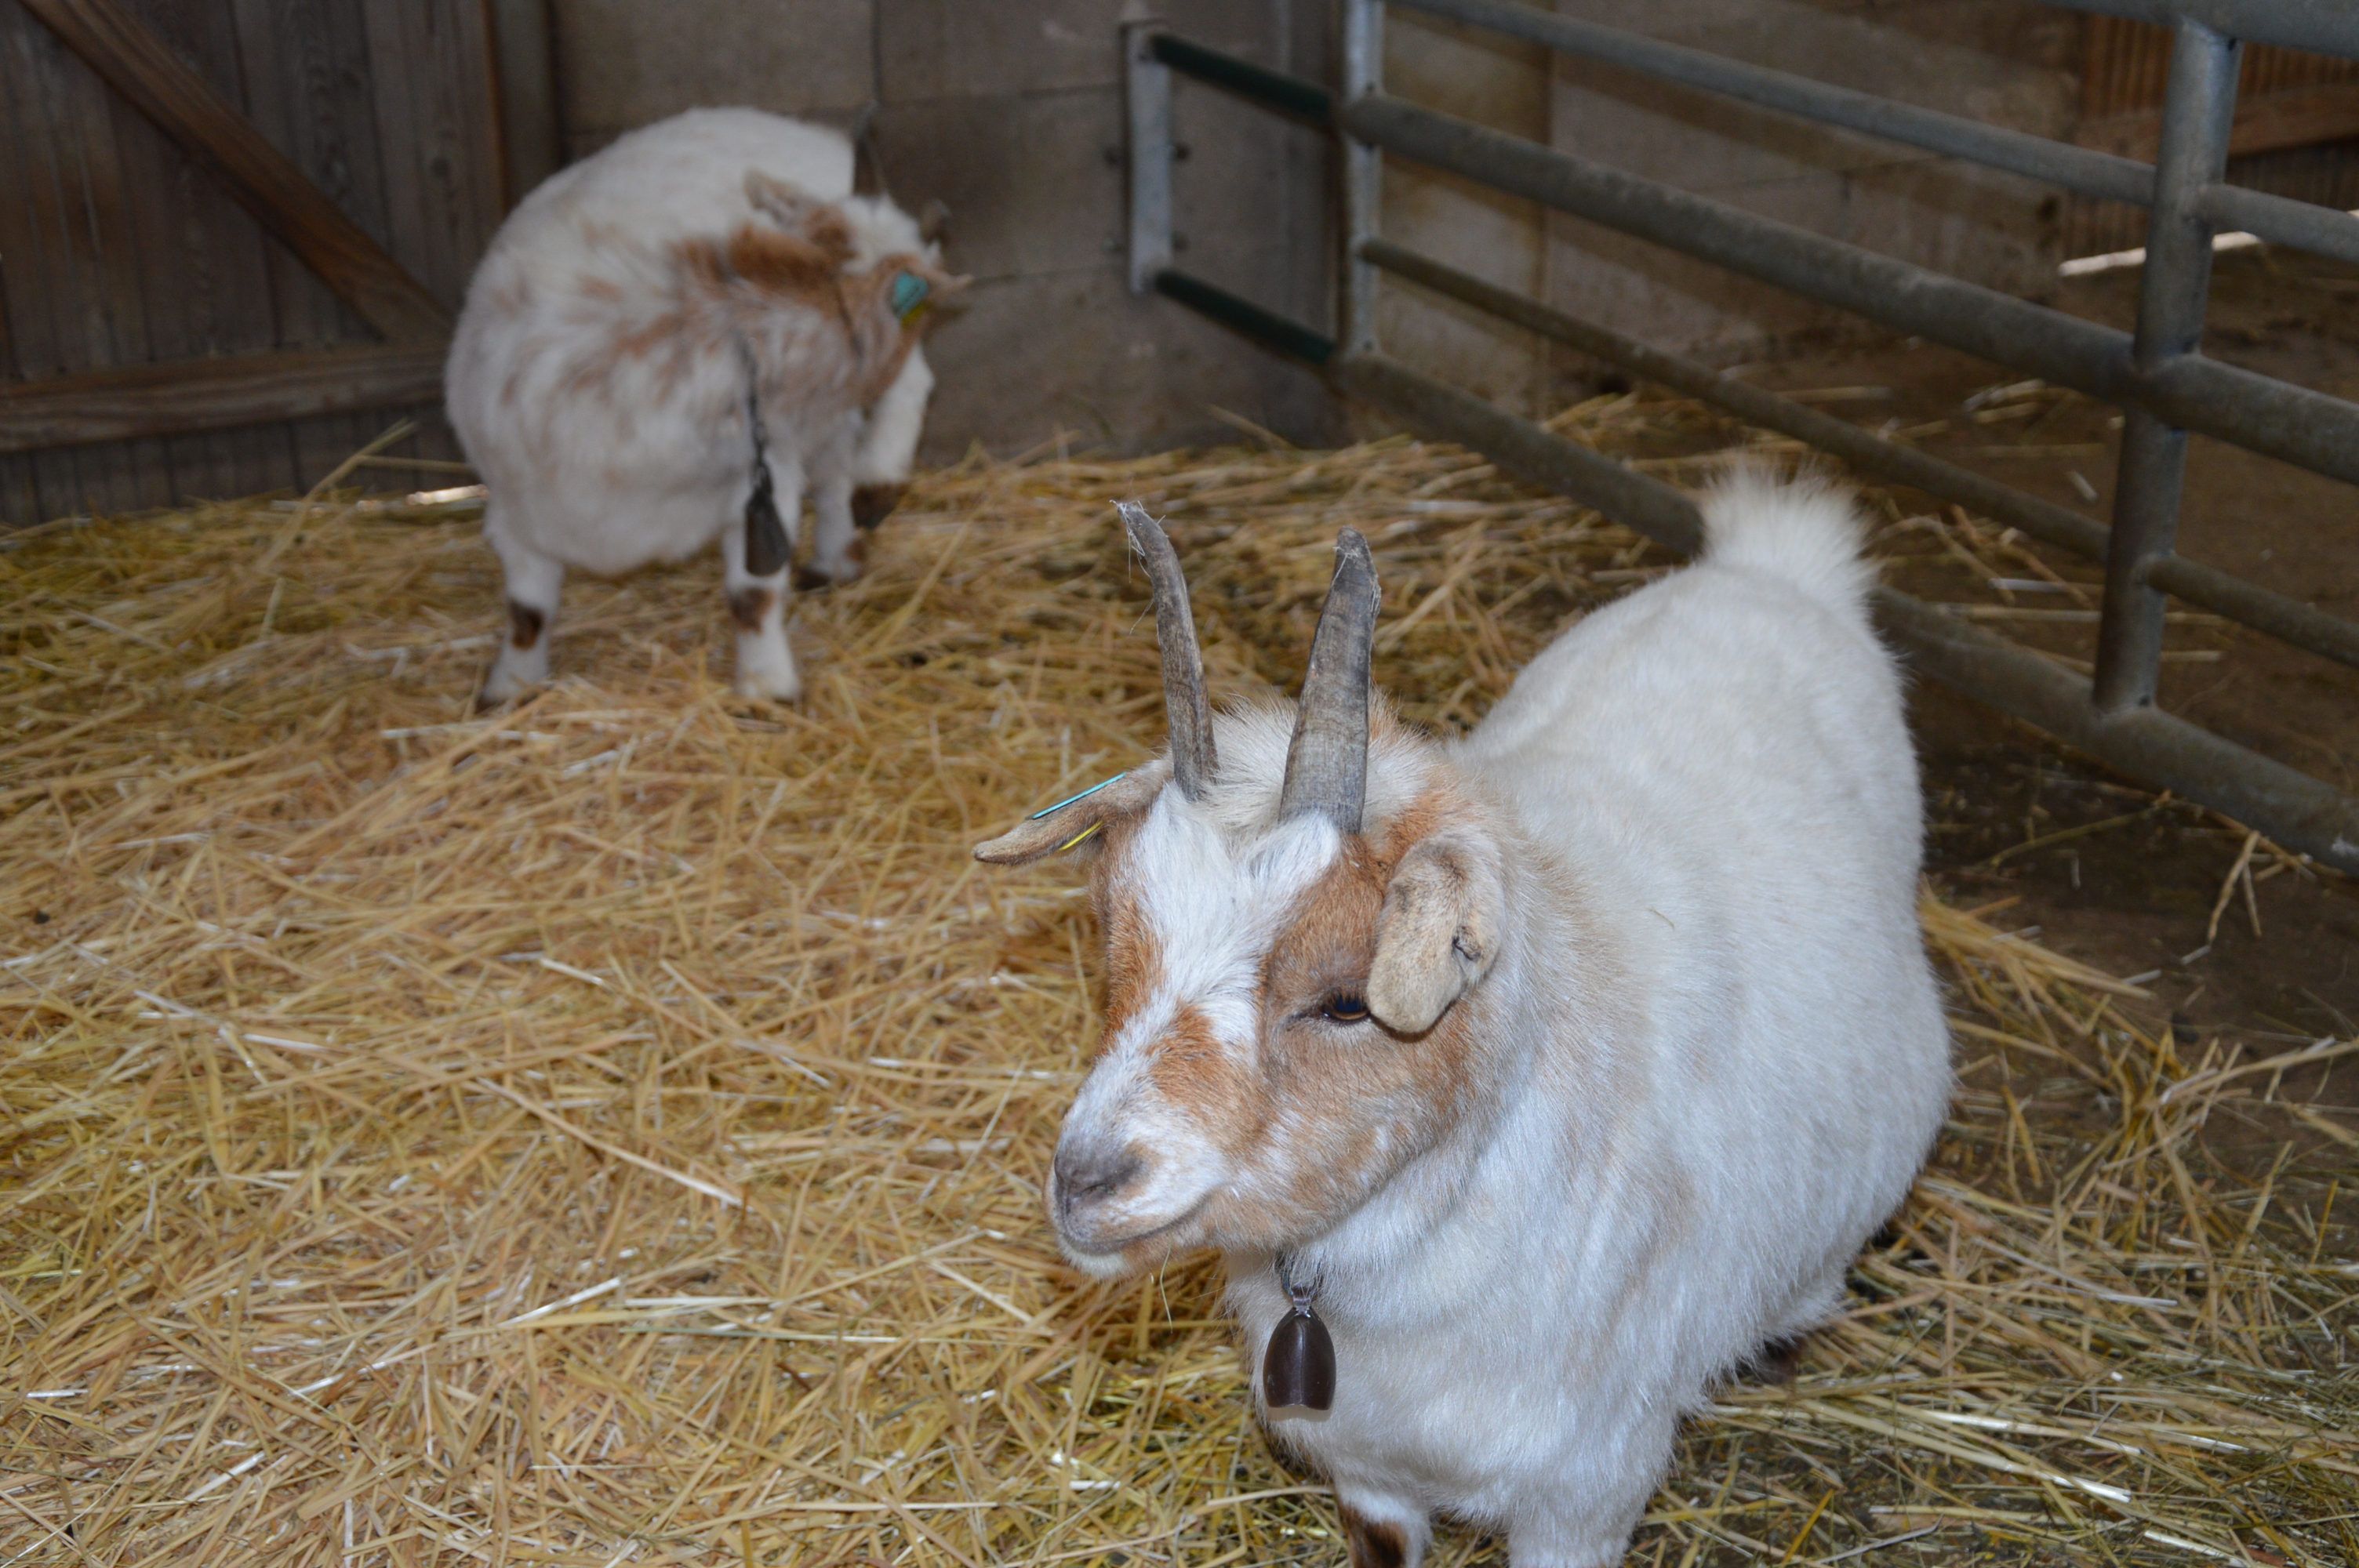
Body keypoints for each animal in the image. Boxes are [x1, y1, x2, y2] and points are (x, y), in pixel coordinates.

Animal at [443, 103, 958, 702]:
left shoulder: (762, 486)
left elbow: (753, 596)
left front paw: (767, 689)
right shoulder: (518, 509)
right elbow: (527, 610)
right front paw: (510, 687)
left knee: (905, 393)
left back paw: (873, 491)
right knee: (835, 461)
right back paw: (837, 554)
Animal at [967, 476, 1943, 1565]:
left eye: (1347, 998)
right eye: (1114, 930)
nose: (1085, 1180)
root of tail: (1773, 563)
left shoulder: (1585, 1493)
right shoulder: (1367, 1469)